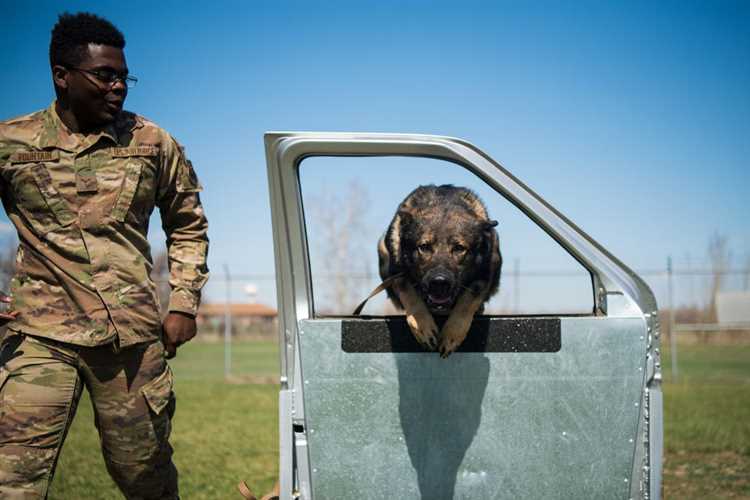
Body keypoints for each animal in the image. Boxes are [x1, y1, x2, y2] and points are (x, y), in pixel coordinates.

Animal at [378, 186, 502, 358]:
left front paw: (452, 334)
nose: (439, 282)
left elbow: (468, 299)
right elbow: (408, 292)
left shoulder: (486, 272)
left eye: (459, 248)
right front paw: (422, 325)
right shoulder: (396, 272)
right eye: (424, 247)